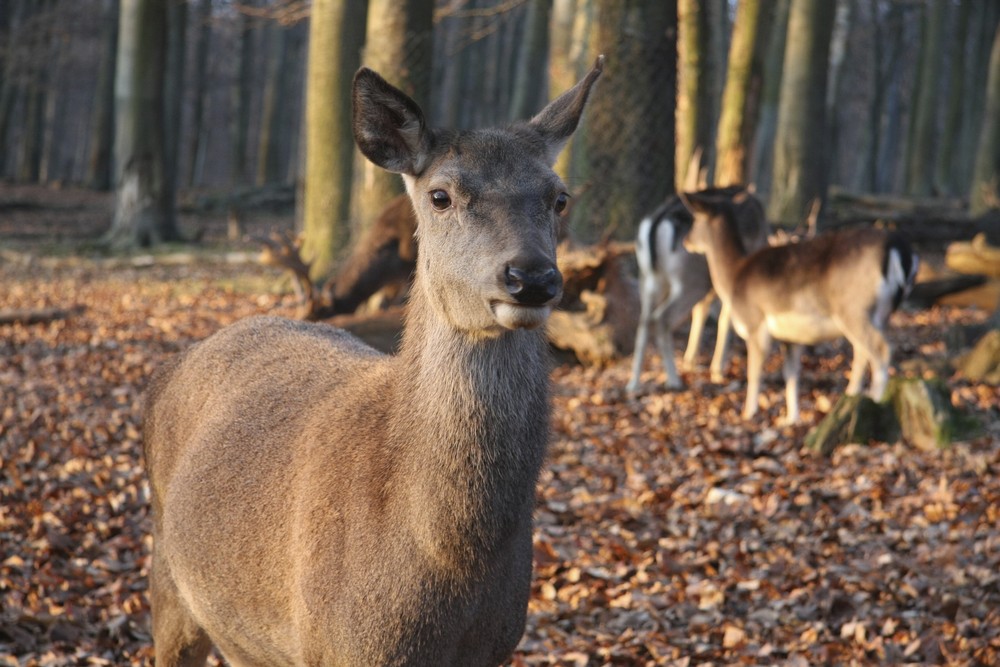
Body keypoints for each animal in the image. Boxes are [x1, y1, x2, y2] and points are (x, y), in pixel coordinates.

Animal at [145, 57, 604, 667]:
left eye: (559, 197)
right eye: (440, 196)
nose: (530, 276)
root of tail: (169, 368)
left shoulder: (499, 644)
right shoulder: (336, 644)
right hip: (167, 579)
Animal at [624, 184, 772, 392]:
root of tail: (655, 223)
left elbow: (703, 312)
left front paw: (691, 362)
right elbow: (725, 318)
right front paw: (717, 371)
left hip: (649, 279)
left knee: (644, 320)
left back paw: (634, 384)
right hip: (691, 280)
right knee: (662, 318)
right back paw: (674, 380)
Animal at [684, 187, 916, 422]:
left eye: (695, 219)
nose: (686, 240)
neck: (733, 277)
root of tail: (901, 250)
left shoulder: (755, 324)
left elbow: (754, 372)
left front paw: (748, 413)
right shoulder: (791, 338)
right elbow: (791, 374)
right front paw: (790, 419)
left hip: (854, 309)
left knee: (881, 350)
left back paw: (875, 400)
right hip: (880, 314)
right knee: (863, 352)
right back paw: (852, 396)